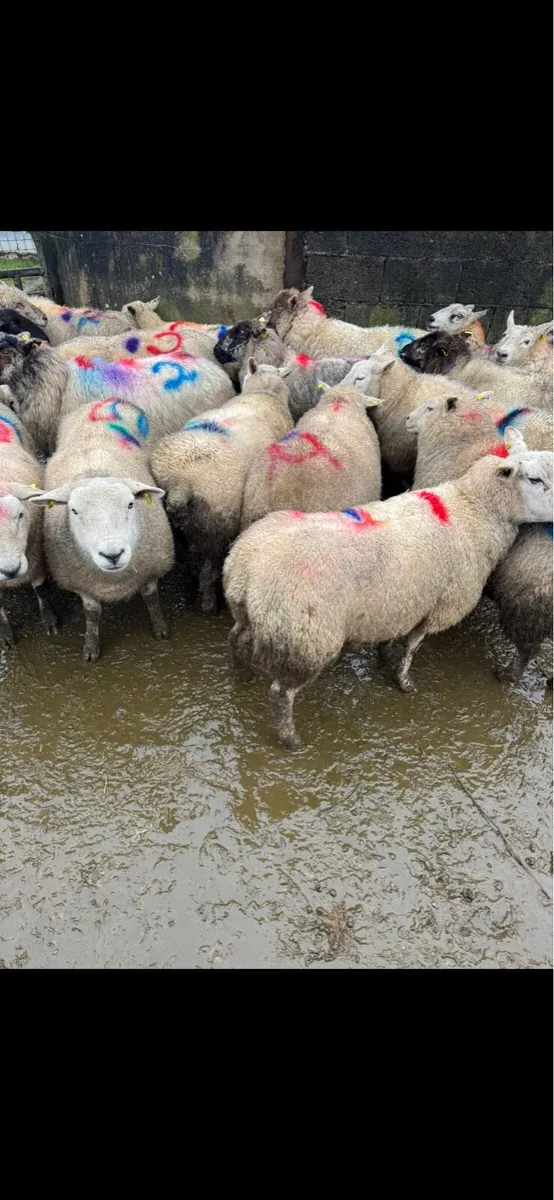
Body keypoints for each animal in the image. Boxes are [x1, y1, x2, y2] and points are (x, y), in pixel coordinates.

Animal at [29, 399, 174, 662]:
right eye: (74, 510)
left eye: (130, 504)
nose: (113, 554)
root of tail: (104, 401)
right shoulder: (84, 585)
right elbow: (92, 614)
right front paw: (91, 647)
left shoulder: (152, 568)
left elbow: (151, 598)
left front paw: (160, 629)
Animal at [150, 358, 293, 615]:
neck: (262, 394)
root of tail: (180, 483)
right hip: (216, 526)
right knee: (209, 570)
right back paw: (209, 604)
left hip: (173, 528)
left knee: (185, 562)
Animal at [222, 449, 553, 748]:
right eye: (534, 478)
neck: (472, 508)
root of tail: (247, 565)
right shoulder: (437, 606)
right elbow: (411, 647)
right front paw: (404, 682)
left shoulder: (398, 603)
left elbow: (393, 637)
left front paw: (383, 659)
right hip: (304, 638)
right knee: (281, 694)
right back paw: (290, 740)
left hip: (255, 616)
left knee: (237, 637)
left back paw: (244, 675)